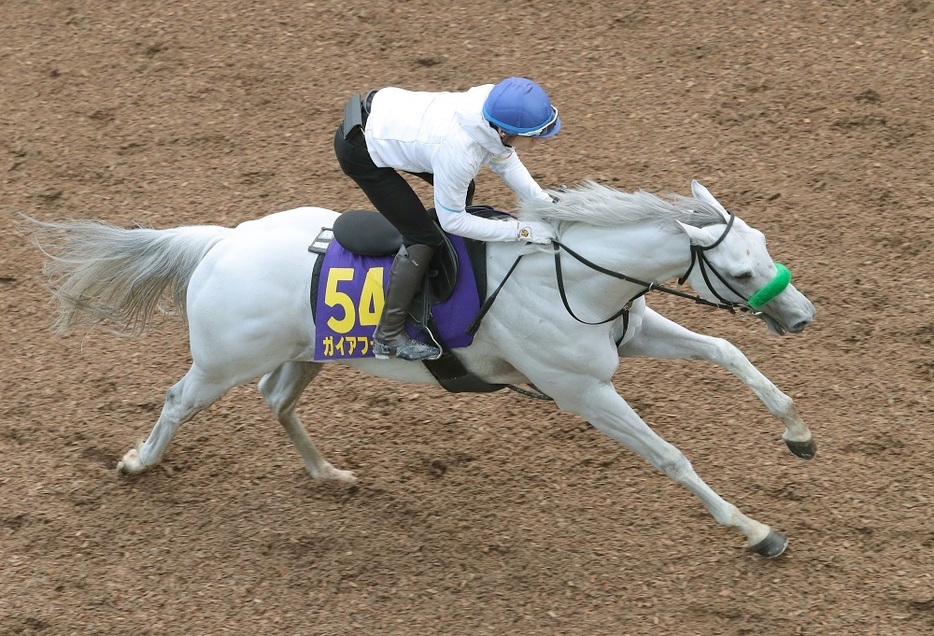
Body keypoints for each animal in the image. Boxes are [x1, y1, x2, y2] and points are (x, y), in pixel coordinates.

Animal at [29, 179, 816, 556]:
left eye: (764, 246)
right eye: (740, 272)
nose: (801, 315)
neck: (571, 274)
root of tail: (222, 244)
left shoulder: (632, 334)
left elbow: (730, 352)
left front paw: (798, 433)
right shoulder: (583, 390)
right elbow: (672, 457)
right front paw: (755, 530)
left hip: (307, 352)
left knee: (276, 399)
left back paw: (329, 473)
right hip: (222, 360)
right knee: (177, 399)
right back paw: (138, 462)